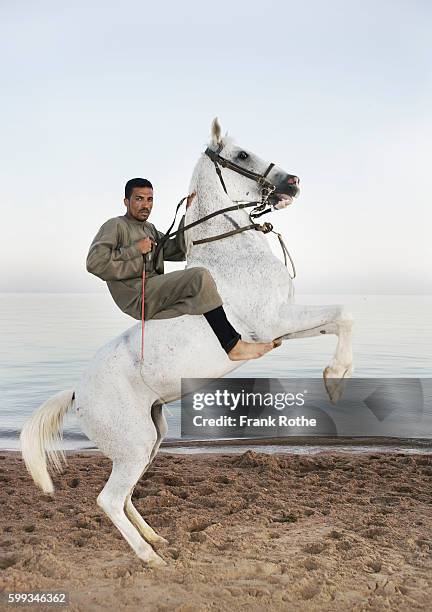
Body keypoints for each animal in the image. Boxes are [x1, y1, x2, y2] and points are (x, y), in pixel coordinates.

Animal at [20, 119, 352, 568]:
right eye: (242, 155)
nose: (293, 182)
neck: (232, 255)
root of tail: (76, 392)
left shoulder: (284, 326)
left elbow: (337, 320)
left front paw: (335, 376)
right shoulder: (274, 322)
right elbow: (344, 314)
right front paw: (335, 378)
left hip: (148, 441)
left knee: (126, 496)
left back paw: (156, 539)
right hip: (135, 445)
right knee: (109, 500)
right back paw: (150, 557)